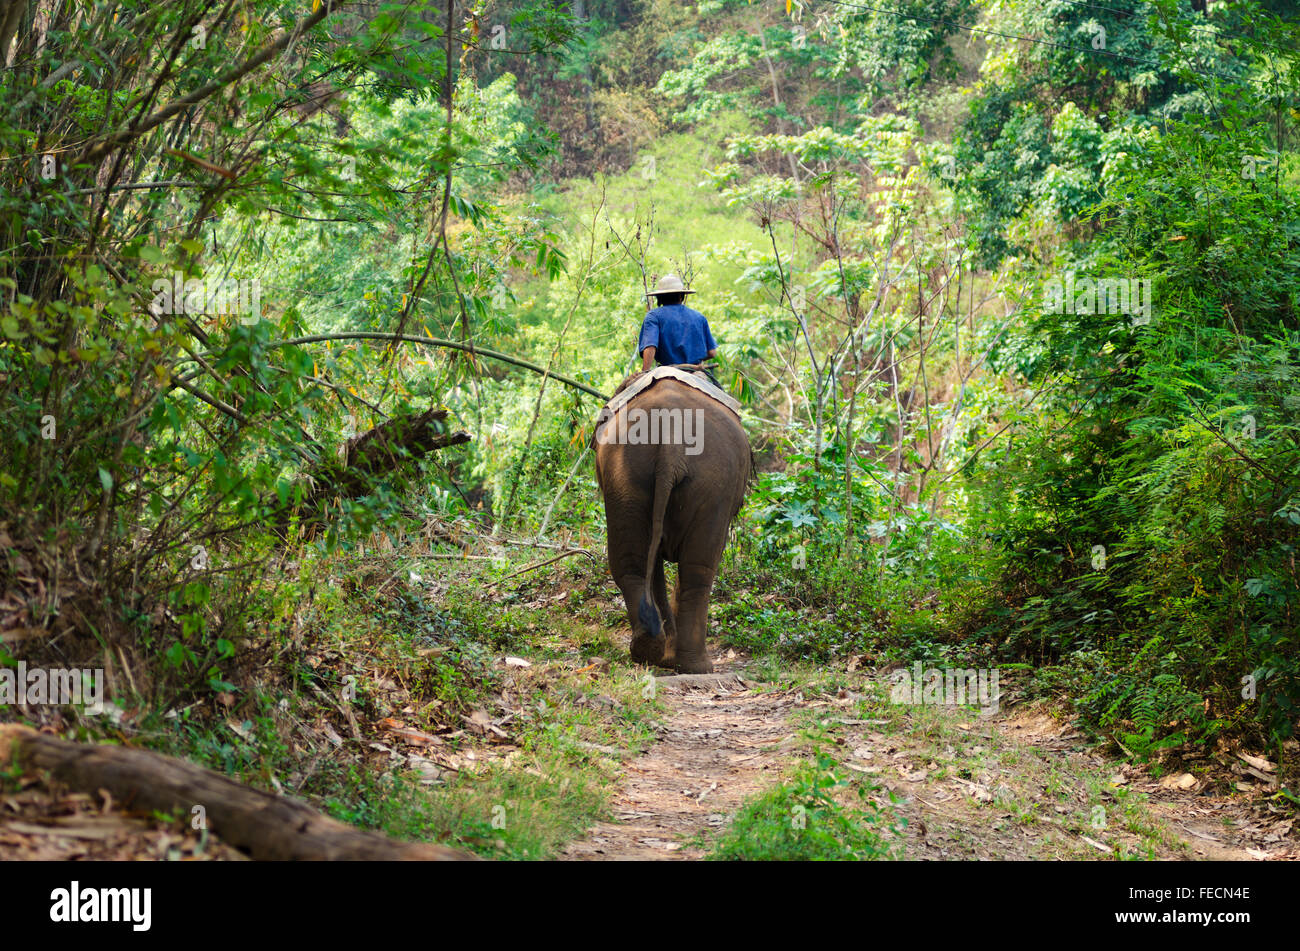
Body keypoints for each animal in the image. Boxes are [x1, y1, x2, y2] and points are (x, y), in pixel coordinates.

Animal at [592, 371, 748, 675]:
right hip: (711, 481)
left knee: (640, 563)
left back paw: (656, 651)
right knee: (697, 569)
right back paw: (689, 663)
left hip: (629, 474)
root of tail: (671, 440)